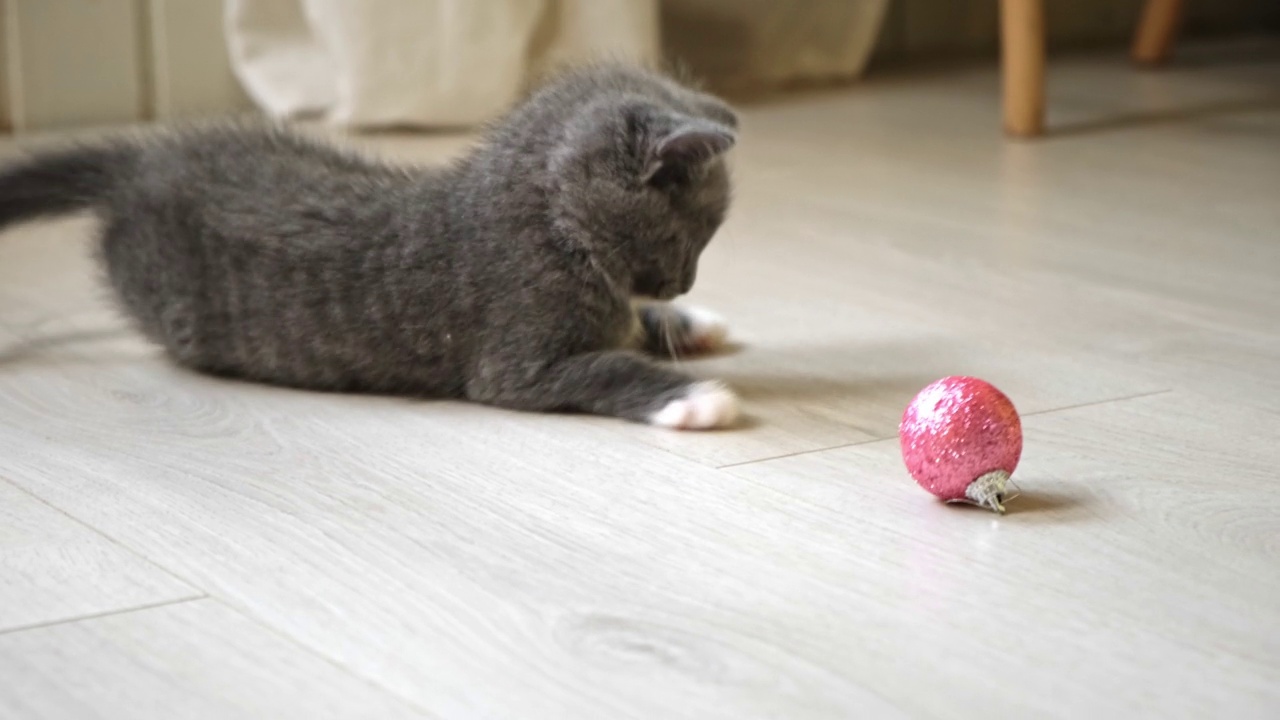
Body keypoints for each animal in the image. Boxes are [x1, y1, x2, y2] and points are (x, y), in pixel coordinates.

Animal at [0, 63, 742, 425]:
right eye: (692, 237)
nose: (685, 284)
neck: (552, 223)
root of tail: (140, 161)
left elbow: (627, 326)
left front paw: (686, 324)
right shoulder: (513, 360)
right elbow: (601, 367)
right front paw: (692, 396)